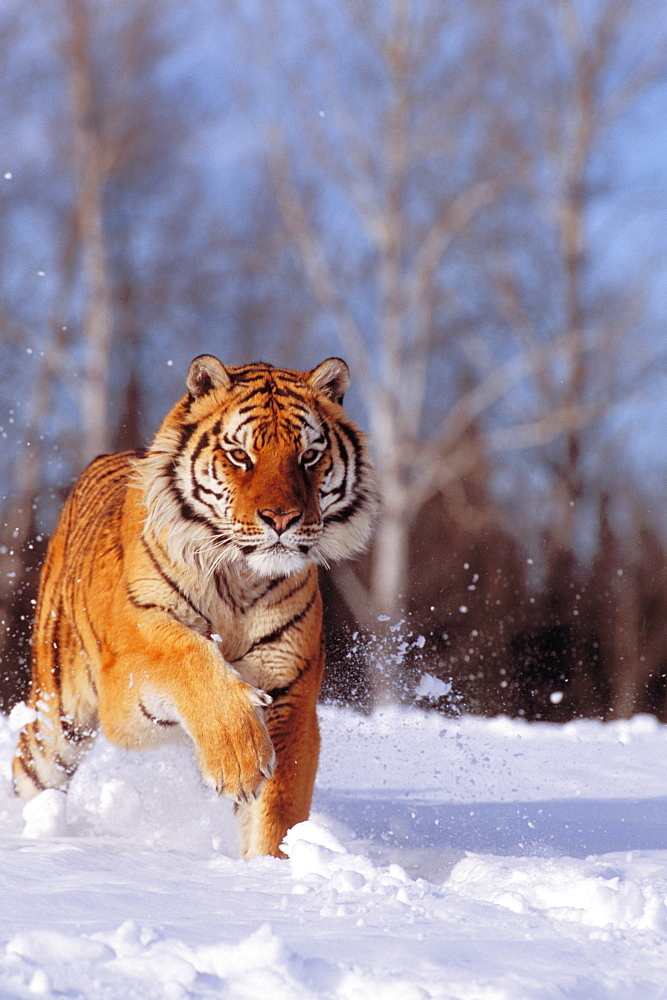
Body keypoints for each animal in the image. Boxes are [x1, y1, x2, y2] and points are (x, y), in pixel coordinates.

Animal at [11, 356, 376, 856]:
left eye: (309, 456)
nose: (282, 518)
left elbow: (277, 807)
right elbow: (188, 656)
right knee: (29, 765)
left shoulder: (291, 692)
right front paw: (238, 758)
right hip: (57, 715)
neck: (241, 578)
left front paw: (272, 864)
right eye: (240, 455)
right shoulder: (127, 675)